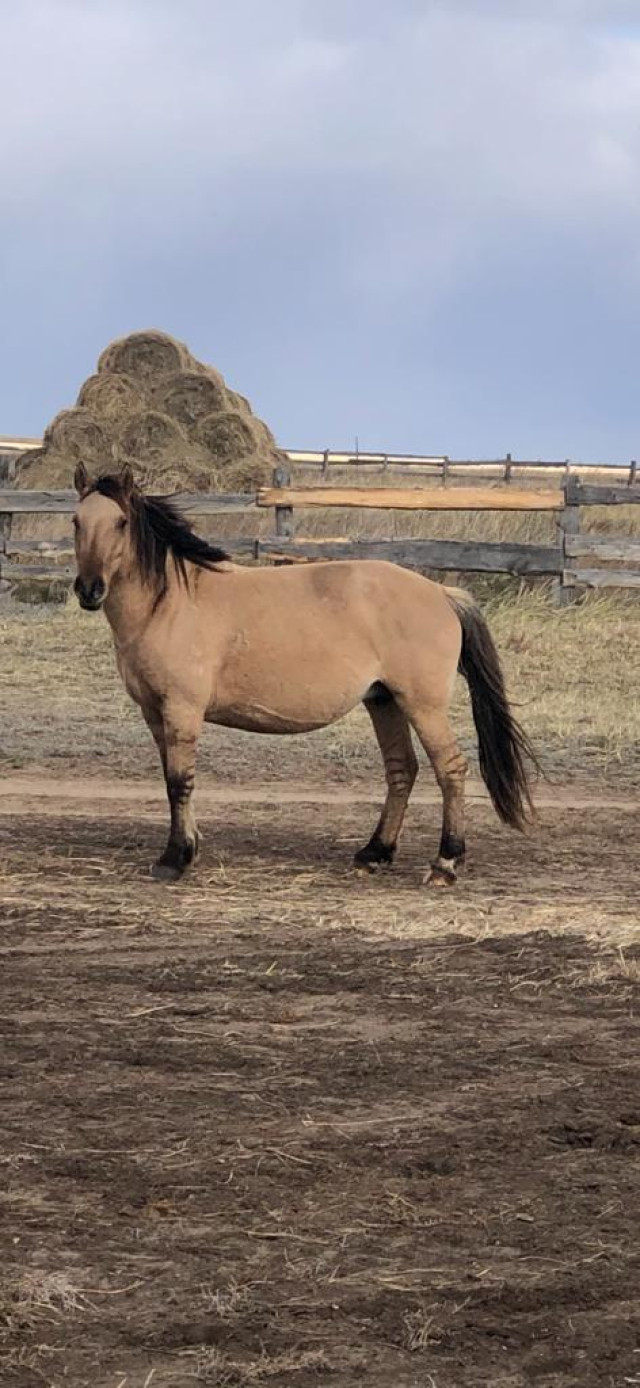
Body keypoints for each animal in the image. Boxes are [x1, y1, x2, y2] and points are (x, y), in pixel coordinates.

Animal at [72, 463, 537, 885]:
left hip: (422, 705)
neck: (171, 603)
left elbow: (179, 782)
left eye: (120, 522)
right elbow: (172, 780)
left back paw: (445, 863)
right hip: (384, 701)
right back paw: (374, 853)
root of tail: (441, 593)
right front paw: (188, 847)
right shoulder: (154, 712)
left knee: (451, 769)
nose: (89, 590)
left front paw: (175, 859)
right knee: (402, 769)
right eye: (77, 521)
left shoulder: (182, 710)